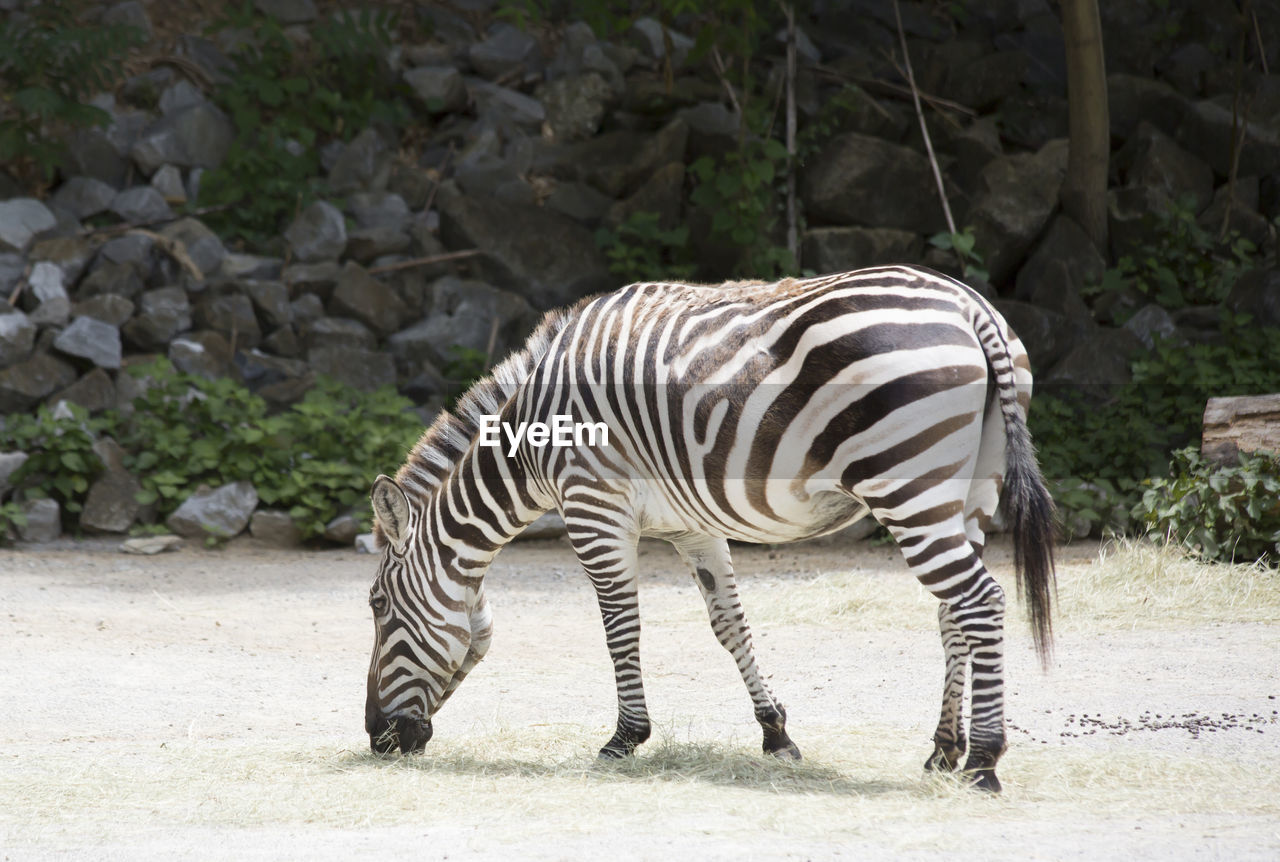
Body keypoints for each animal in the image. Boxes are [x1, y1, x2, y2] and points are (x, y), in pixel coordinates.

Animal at [366, 263, 1054, 794]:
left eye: (376, 606)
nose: (377, 739)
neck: (532, 440)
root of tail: (971, 307)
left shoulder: (594, 506)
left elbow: (620, 627)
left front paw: (625, 739)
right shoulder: (691, 527)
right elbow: (730, 625)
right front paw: (776, 732)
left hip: (907, 484)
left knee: (980, 601)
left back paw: (984, 762)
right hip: (969, 491)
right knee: (952, 611)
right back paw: (943, 751)